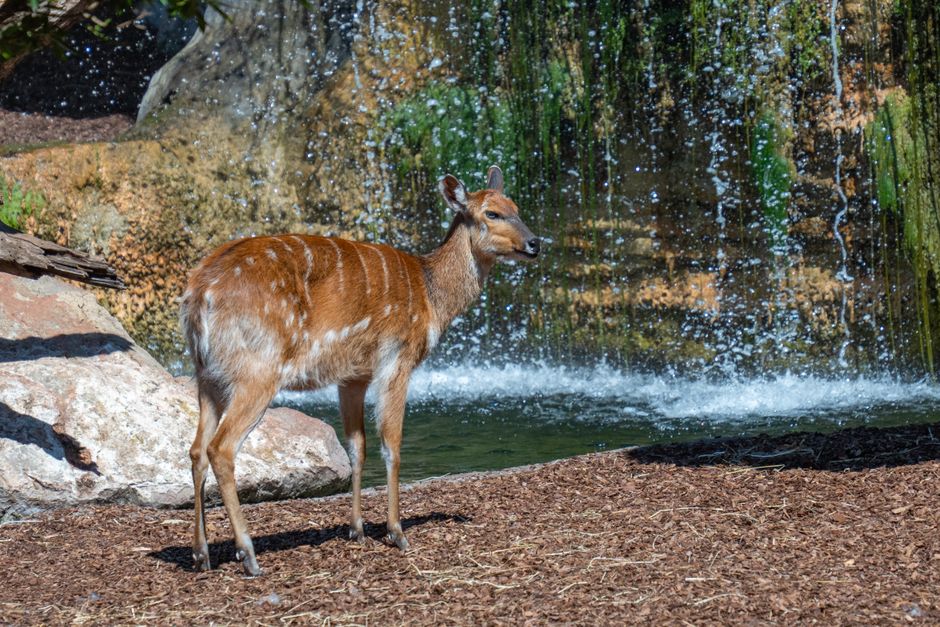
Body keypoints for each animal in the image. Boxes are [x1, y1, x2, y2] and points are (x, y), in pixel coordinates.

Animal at [181, 166, 540, 576]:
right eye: (491, 213)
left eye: (516, 208)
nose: (535, 243)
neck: (432, 300)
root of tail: (199, 296)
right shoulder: (397, 357)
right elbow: (392, 445)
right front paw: (396, 532)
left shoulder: (353, 376)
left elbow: (357, 446)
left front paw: (356, 529)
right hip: (257, 368)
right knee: (220, 448)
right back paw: (248, 554)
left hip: (206, 374)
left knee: (195, 449)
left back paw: (201, 553)